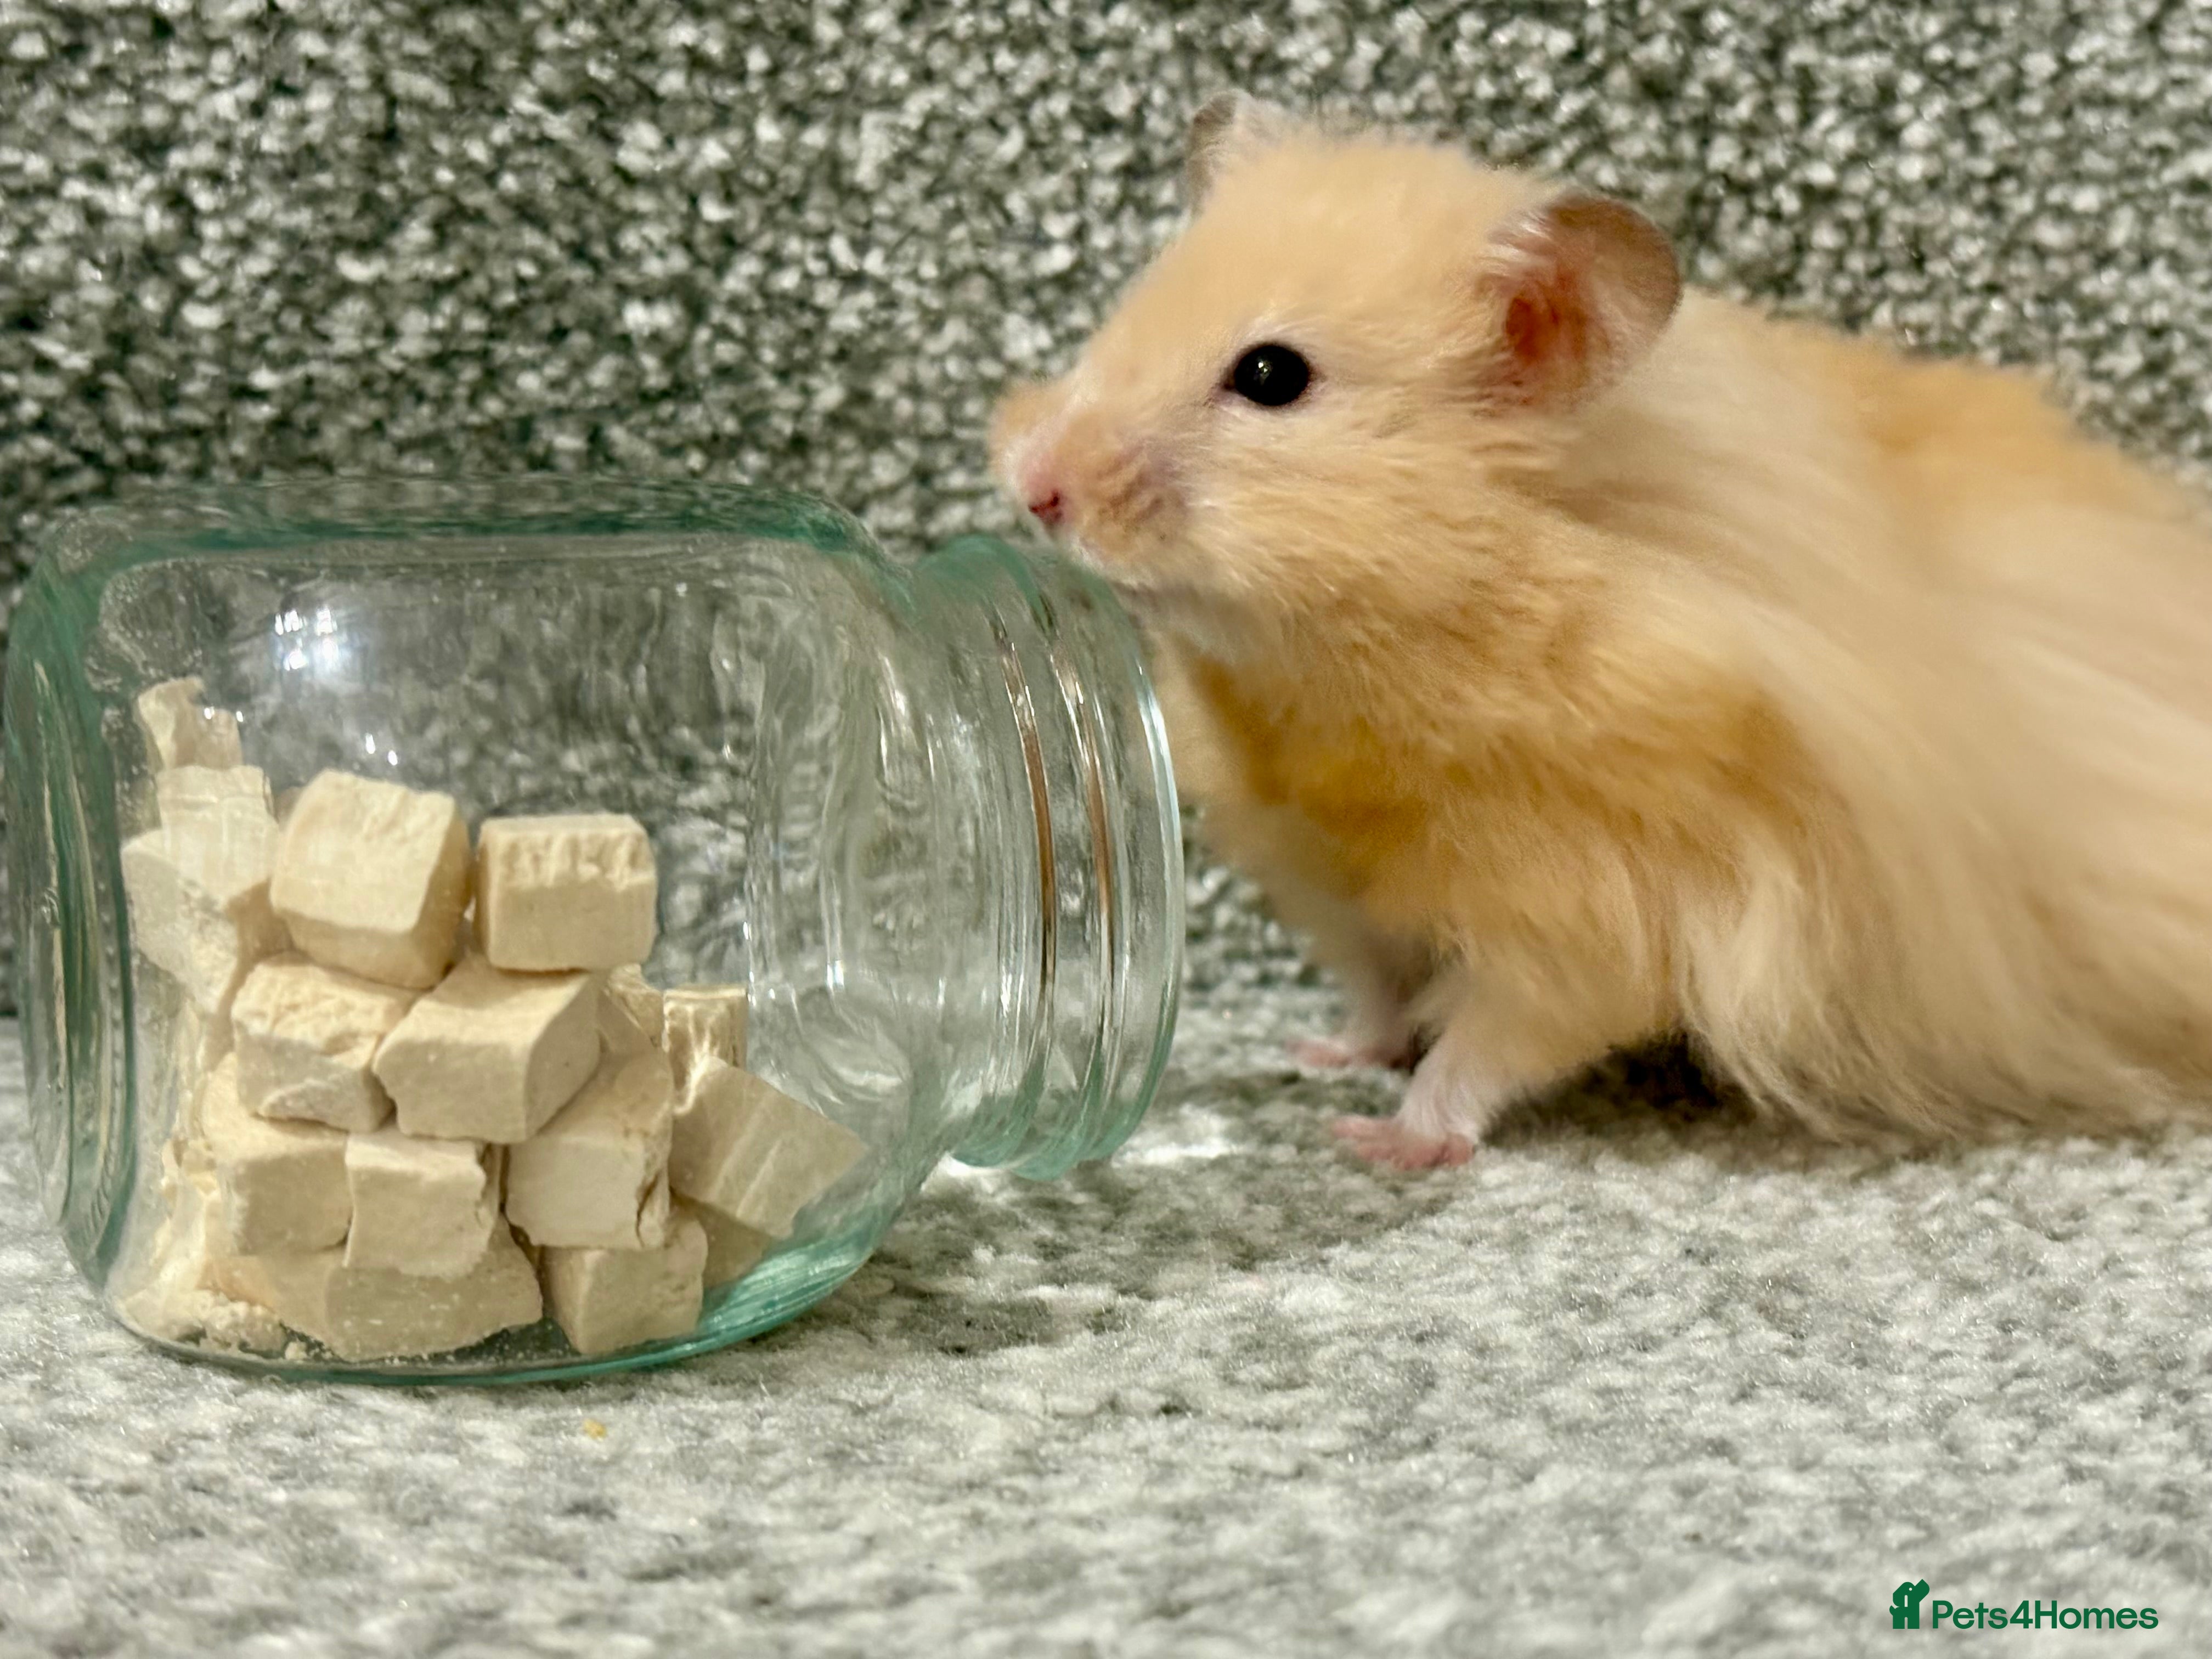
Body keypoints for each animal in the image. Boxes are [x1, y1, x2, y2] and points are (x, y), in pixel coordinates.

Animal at [989, 92, 2212, 1168]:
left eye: (1270, 375)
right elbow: (1377, 989)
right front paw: (1324, 1054)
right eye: (1124, 315)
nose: (1033, 488)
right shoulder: (1323, 875)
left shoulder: (1585, 913)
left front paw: (1382, 1142)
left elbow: (1484, 1046)